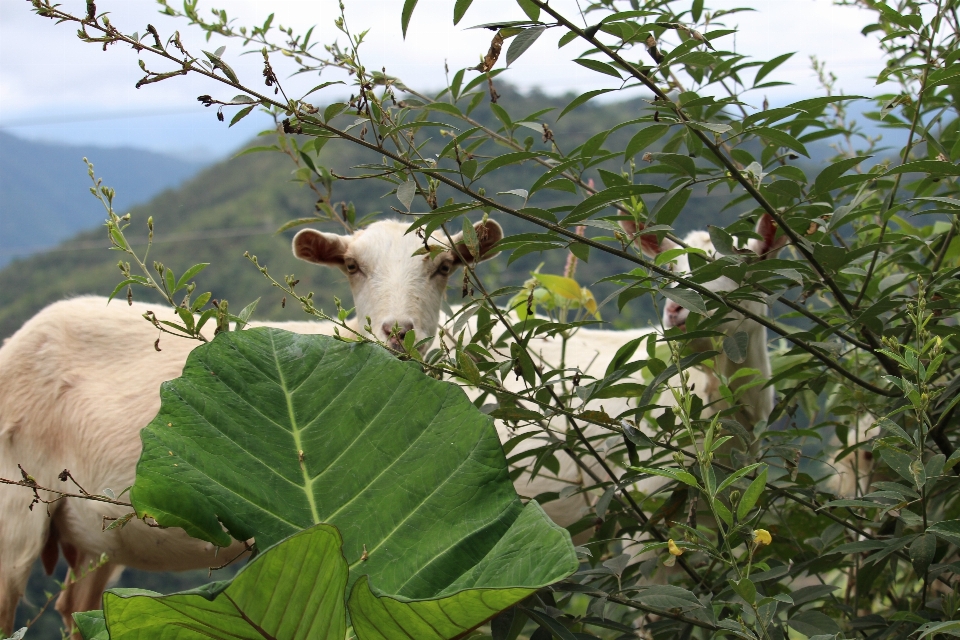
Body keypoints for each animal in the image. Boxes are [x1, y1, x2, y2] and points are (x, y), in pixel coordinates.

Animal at [0, 216, 506, 636]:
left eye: (444, 266)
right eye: (352, 265)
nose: (398, 332)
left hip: (97, 537)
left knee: (77, 608)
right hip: (13, 507)